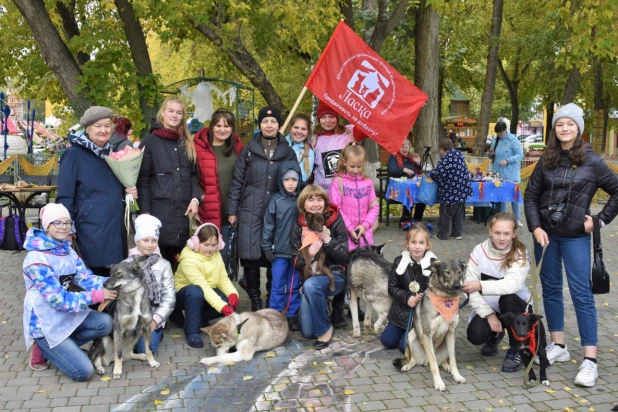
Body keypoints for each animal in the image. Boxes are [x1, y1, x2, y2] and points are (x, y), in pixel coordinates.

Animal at [392, 260, 464, 392]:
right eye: (447, 272)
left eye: (459, 272)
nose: (458, 286)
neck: (446, 297)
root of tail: (425, 362)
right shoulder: (427, 335)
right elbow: (434, 363)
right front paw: (438, 383)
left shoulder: (451, 332)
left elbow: (453, 359)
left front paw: (456, 375)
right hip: (411, 335)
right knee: (413, 359)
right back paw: (407, 366)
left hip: (450, 341)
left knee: (443, 361)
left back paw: (447, 366)